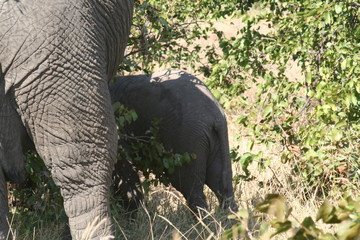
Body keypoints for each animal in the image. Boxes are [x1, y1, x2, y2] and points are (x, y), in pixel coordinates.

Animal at [110, 70, 239, 215]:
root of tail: (215, 115)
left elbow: (123, 171)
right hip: (213, 139)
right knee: (222, 187)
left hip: (186, 137)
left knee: (189, 187)